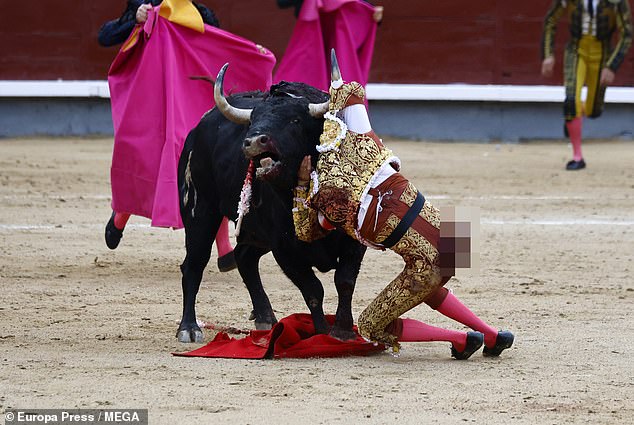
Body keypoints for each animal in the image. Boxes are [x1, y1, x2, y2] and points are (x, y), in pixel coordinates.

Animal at [177, 75, 366, 342]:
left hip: (255, 233)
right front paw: (320, 333)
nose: (254, 141)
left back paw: (265, 317)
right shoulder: (284, 248)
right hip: (200, 210)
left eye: (295, 120)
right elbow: (313, 290)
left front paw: (342, 331)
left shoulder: (356, 238)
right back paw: (189, 327)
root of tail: (198, 128)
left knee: (244, 257)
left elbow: (345, 280)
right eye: (252, 121)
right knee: (194, 264)